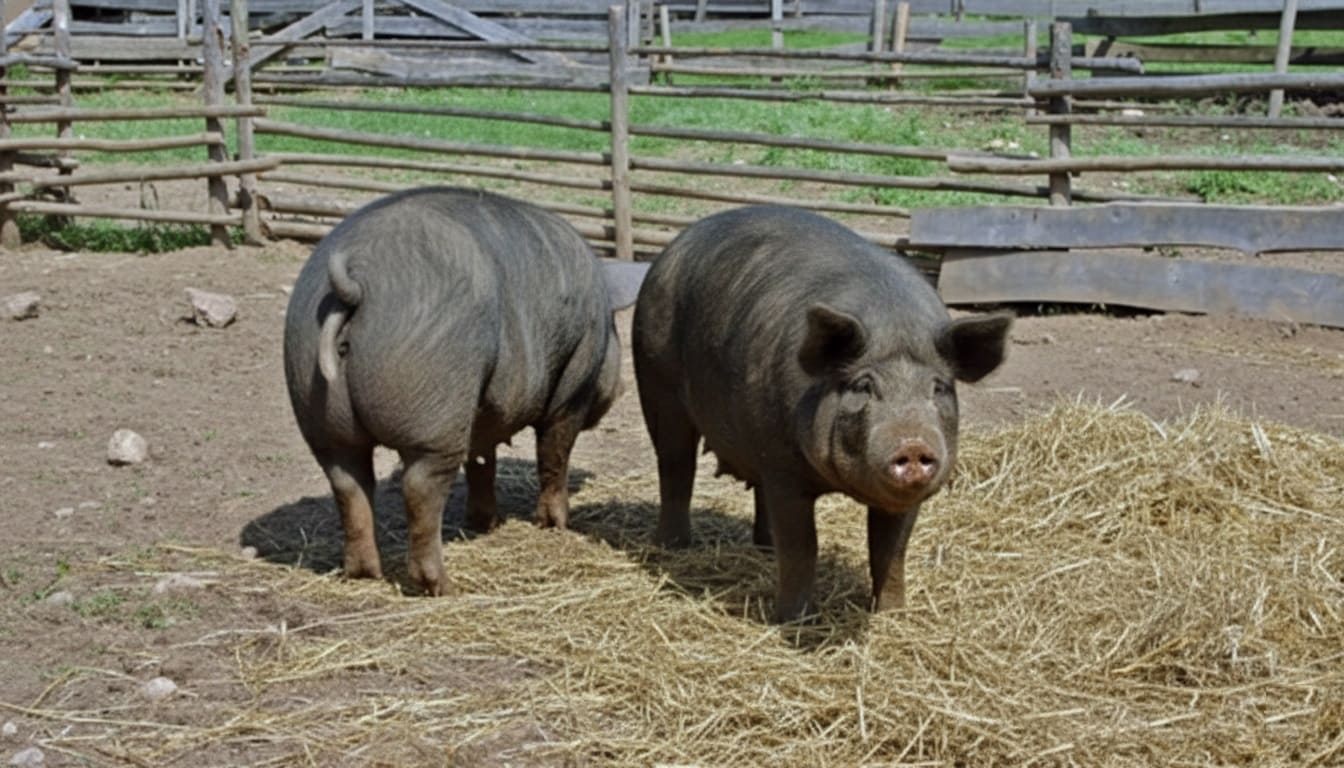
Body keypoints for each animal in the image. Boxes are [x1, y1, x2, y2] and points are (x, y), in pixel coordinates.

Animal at [283, 186, 644, 596]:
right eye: (614, 330)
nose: (621, 388)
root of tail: (356, 278)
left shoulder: (484, 413)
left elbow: (482, 462)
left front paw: (487, 523)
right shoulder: (572, 390)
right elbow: (553, 455)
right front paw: (554, 524)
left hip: (316, 401)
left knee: (348, 482)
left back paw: (364, 574)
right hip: (432, 402)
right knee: (419, 487)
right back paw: (442, 586)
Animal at [632, 205, 1011, 622]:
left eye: (939, 387)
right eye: (863, 386)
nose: (912, 442)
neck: (893, 324)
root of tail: (671, 249)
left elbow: (890, 551)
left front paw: (892, 615)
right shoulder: (784, 470)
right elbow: (802, 547)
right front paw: (795, 621)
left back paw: (764, 548)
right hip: (656, 381)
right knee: (675, 468)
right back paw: (674, 547)